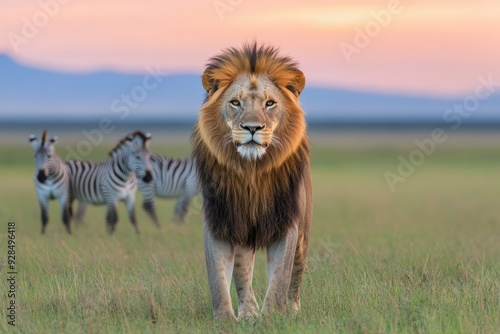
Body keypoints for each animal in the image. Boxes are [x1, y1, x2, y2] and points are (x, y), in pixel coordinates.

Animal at [192, 43, 312, 320]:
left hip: (303, 234)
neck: (251, 172)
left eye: (270, 103)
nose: (252, 128)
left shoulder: (286, 222)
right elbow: (218, 277)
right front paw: (225, 319)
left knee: (297, 273)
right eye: (235, 103)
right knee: (242, 271)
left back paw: (292, 310)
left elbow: (280, 278)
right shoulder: (220, 219)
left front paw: (272, 317)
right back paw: (248, 313)